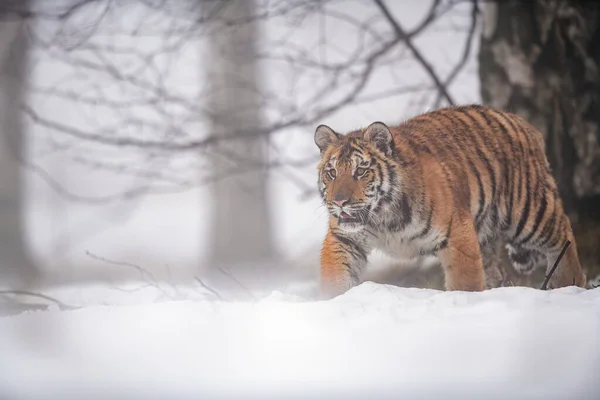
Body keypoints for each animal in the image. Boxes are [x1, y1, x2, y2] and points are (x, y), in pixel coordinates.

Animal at [316, 103, 588, 296]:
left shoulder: (457, 235)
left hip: (530, 212)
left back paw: (568, 286)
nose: (339, 202)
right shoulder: (344, 238)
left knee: (563, 235)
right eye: (332, 172)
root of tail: (524, 123)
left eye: (361, 171)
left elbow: (465, 283)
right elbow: (335, 275)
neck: (382, 218)